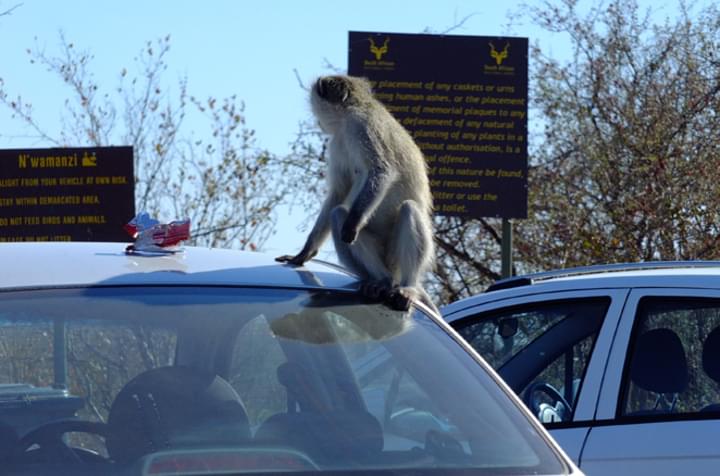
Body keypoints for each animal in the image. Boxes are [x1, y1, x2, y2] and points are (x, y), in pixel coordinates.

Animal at [276, 75, 436, 312]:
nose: (318, 123)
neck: (353, 109)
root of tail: (394, 272)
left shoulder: (362, 127)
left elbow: (381, 171)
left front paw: (353, 224)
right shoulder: (338, 143)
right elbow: (339, 193)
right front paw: (304, 253)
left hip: (394, 257)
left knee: (408, 208)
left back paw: (405, 287)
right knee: (338, 213)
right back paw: (380, 281)